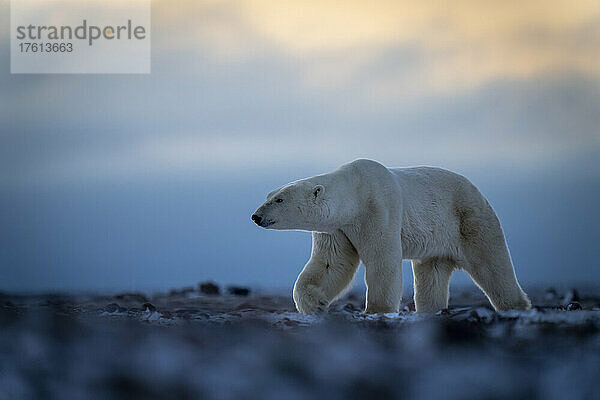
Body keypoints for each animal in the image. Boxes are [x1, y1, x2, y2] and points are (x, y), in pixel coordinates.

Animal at [252, 161, 528, 314]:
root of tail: (478, 191)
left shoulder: (378, 207)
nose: (256, 216)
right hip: (436, 241)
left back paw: (516, 305)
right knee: (431, 275)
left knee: (492, 265)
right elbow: (331, 265)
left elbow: (382, 259)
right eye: (269, 195)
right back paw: (430, 310)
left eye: (279, 199)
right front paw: (317, 304)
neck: (355, 192)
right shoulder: (337, 229)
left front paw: (377, 310)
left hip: (469, 218)